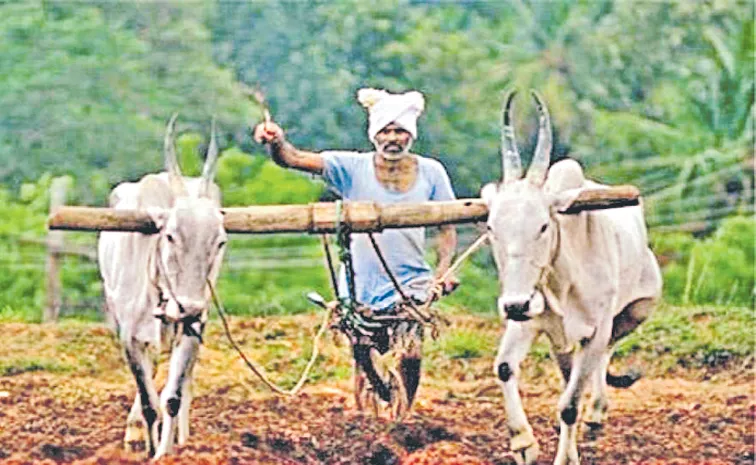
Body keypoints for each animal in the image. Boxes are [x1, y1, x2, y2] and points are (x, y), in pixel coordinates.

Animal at [98, 116, 227, 456]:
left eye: (220, 242)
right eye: (170, 236)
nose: (189, 307)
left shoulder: (193, 329)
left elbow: (171, 399)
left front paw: (166, 454)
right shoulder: (129, 337)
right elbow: (149, 404)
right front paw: (146, 446)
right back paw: (133, 432)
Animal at [484, 91, 660, 464]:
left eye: (543, 226)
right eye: (491, 228)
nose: (514, 304)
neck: (562, 283)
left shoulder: (596, 329)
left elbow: (569, 405)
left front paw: (565, 454)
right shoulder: (529, 321)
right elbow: (504, 367)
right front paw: (524, 443)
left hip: (636, 310)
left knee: (601, 360)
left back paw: (596, 413)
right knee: (571, 373)